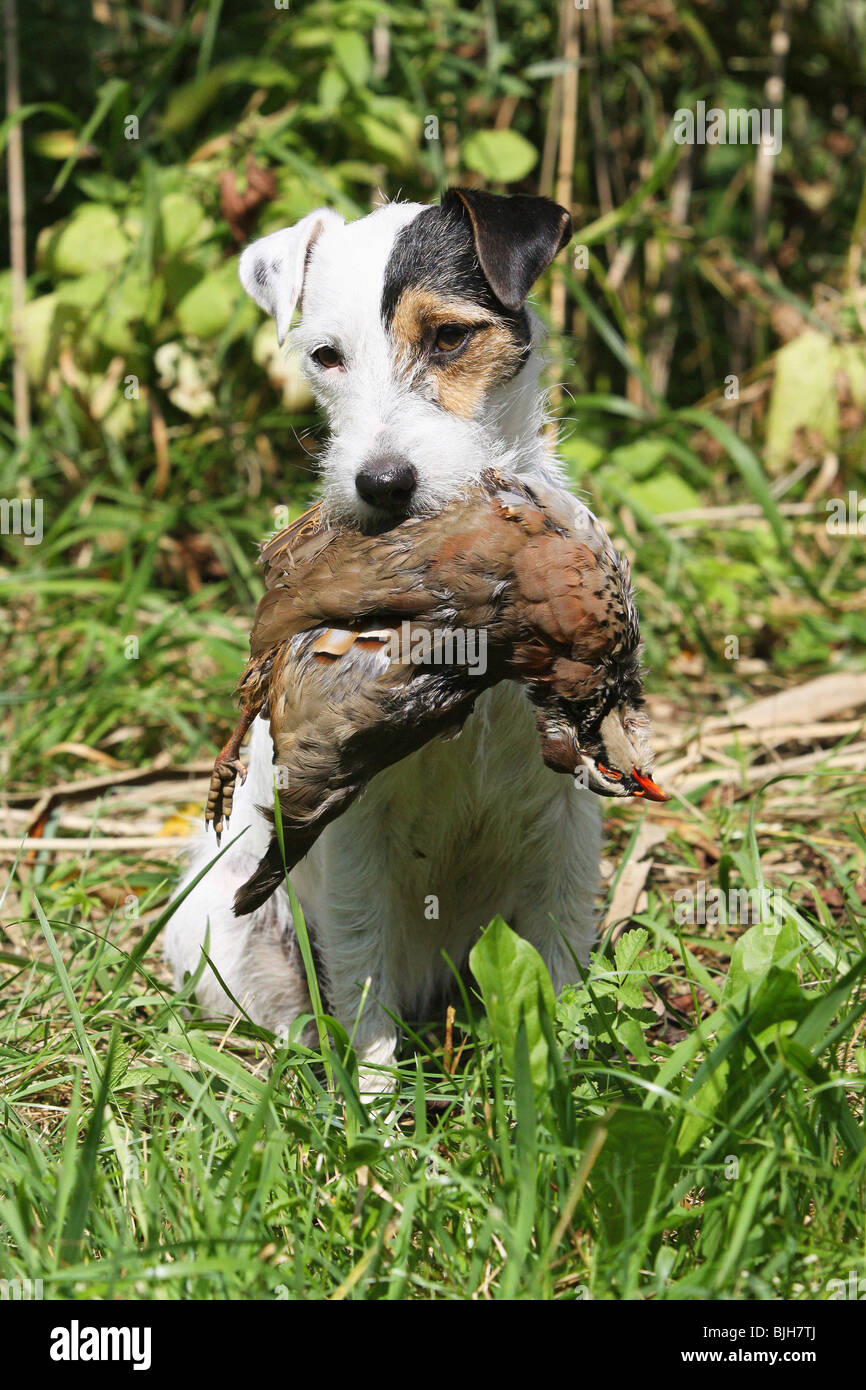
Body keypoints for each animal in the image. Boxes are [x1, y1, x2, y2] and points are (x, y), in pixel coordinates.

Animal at [164, 190, 603, 1089]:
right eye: (326, 357)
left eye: (449, 337)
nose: (381, 485)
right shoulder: (354, 841)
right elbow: (364, 986)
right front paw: (374, 1111)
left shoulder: (569, 828)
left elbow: (561, 967)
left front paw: (564, 1088)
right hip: (219, 930)